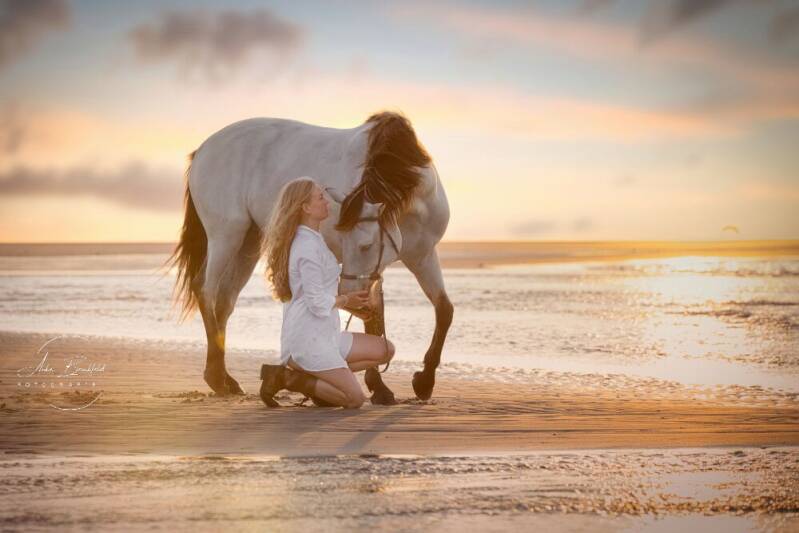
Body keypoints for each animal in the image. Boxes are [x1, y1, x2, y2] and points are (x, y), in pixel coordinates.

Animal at [163, 111, 453, 405]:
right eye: (346, 242)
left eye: (366, 245)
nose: (348, 297)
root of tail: (202, 150)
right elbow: (373, 321)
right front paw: (381, 388)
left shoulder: (421, 257)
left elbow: (443, 310)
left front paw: (424, 381)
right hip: (226, 236)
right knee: (206, 290)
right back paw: (216, 378)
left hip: (248, 243)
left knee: (224, 300)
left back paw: (230, 379)